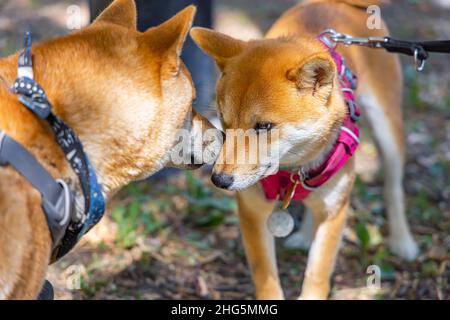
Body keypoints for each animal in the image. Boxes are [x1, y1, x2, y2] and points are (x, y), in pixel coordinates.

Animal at [191, 0, 418, 300]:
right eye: (224, 122)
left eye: (264, 126)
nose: (219, 180)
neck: (292, 171)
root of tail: (339, 5)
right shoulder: (252, 210)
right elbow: (265, 278)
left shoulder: (335, 212)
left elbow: (318, 272)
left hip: (387, 132)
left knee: (393, 189)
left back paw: (403, 240)